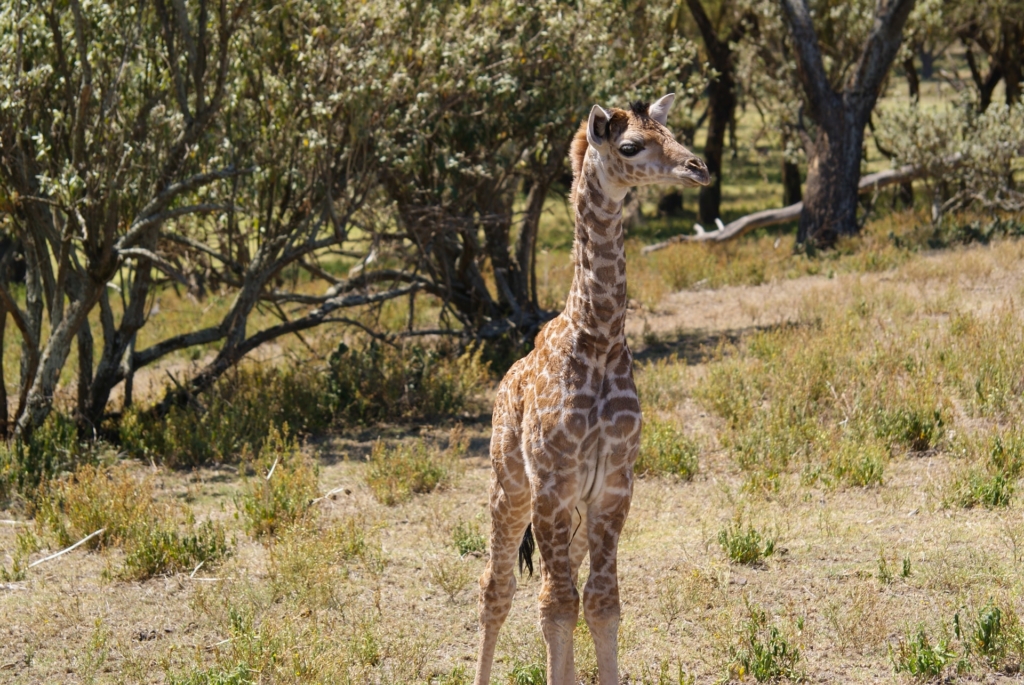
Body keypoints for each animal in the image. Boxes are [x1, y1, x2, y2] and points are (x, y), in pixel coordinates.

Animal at [473, 92, 708, 683]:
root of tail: (503, 383)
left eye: (672, 134)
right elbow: (555, 605)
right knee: (497, 588)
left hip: (572, 515)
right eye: (630, 146)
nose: (698, 167)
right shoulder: (552, 486)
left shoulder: (613, 487)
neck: (598, 338)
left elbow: (601, 604)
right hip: (510, 488)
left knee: (565, 587)